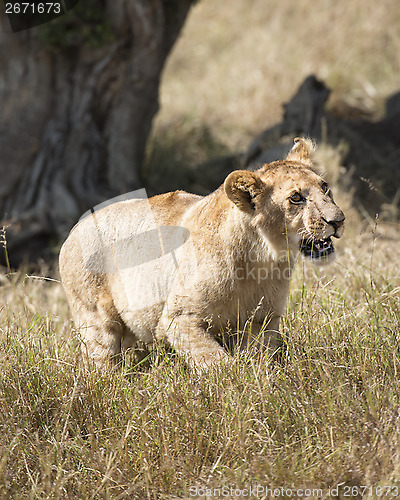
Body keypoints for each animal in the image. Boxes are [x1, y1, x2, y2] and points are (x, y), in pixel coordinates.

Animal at [58, 139, 344, 370]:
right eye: (296, 198)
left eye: (325, 187)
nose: (338, 220)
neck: (261, 262)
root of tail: (75, 228)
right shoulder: (177, 318)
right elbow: (217, 363)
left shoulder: (262, 320)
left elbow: (259, 360)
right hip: (95, 320)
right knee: (102, 363)